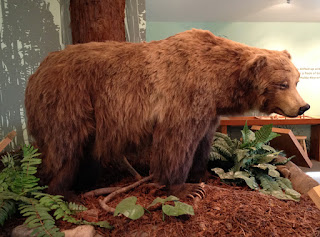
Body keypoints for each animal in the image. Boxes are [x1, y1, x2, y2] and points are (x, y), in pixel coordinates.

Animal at [25, 28, 310, 195]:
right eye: (282, 83)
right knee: (66, 151)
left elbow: (203, 141)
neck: (219, 81)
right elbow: (176, 142)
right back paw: (62, 190)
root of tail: (36, 72)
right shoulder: (185, 94)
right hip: (69, 101)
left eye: (296, 80)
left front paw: (201, 173)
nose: (303, 106)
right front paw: (182, 187)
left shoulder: (208, 110)